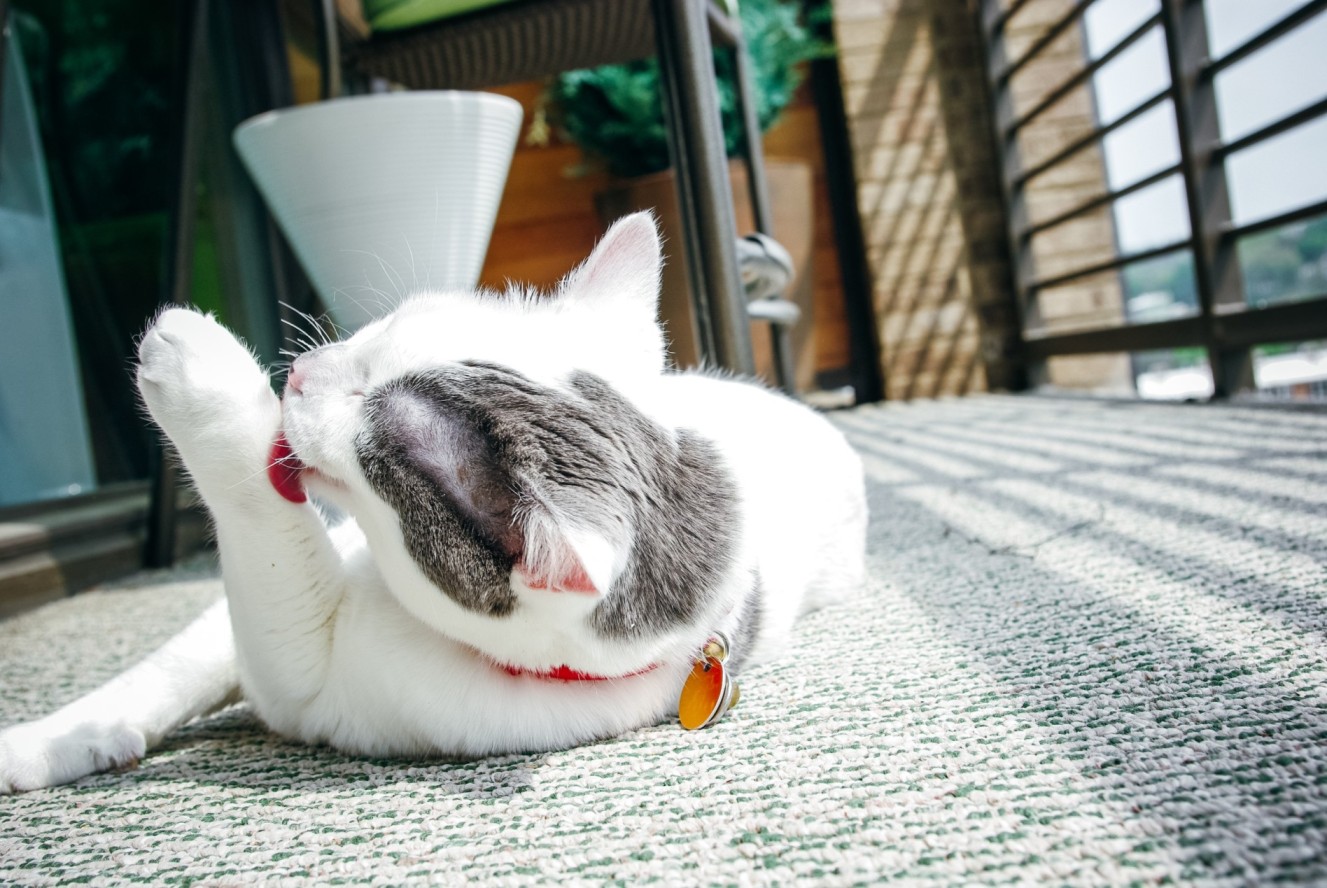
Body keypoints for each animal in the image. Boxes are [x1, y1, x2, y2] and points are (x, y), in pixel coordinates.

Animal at [0, 212, 870, 791]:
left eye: (372, 442)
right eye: (381, 330)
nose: (299, 376)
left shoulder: (303, 675)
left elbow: (269, 544)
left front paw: (198, 367)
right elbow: (161, 672)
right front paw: (51, 740)